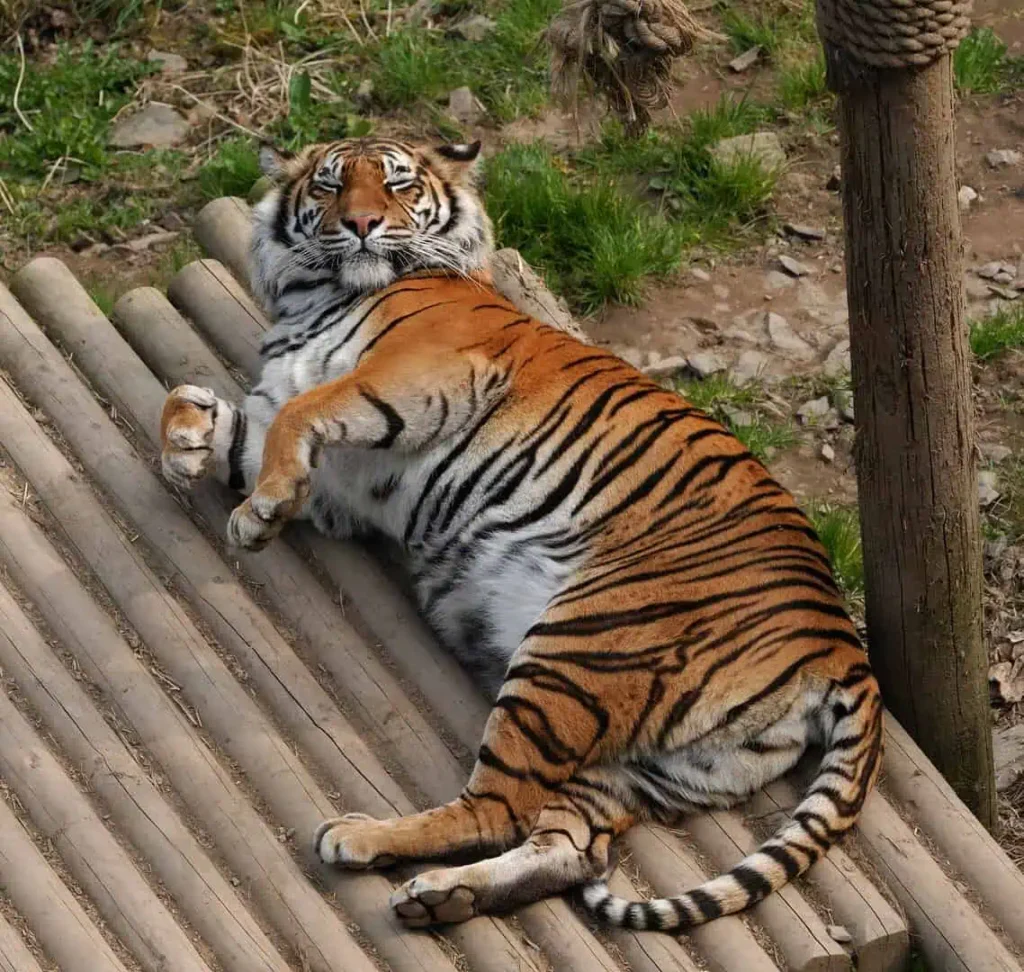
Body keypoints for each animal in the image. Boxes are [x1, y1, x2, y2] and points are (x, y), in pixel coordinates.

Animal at [159, 135, 882, 932]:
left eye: (396, 184)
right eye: (329, 185)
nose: (361, 225)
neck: (315, 295)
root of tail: (841, 645)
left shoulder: (416, 374)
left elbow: (300, 411)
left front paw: (256, 516)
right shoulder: (338, 471)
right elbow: (189, 403)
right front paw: (190, 447)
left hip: (579, 651)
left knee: (499, 807)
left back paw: (361, 840)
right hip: (652, 763)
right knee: (574, 846)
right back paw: (446, 894)